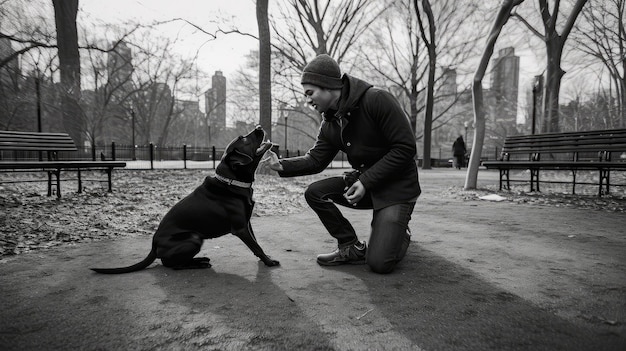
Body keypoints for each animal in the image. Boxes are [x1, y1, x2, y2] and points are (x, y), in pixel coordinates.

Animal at [90, 126, 278, 276]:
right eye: (243, 138)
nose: (260, 126)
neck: (231, 181)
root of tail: (154, 245)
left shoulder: (247, 222)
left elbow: (256, 242)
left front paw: (265, 258)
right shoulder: (240, 228)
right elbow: (256, 246)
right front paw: (269, 262)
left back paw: (200, 259)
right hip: (193, 238)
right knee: (173, 265)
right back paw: (199, 264)